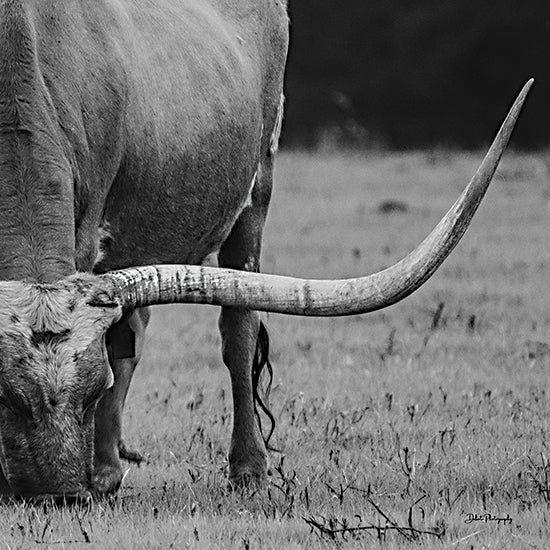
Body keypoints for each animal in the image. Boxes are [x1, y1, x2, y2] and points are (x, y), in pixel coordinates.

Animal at [0, 0, 536, 504]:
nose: (61, 496)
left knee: (236, 336)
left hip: (254, 196)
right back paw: (109, 467)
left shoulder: (89, 229)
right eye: (5, 396)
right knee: (133, 331)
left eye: (94, 391)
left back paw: (246, 469)